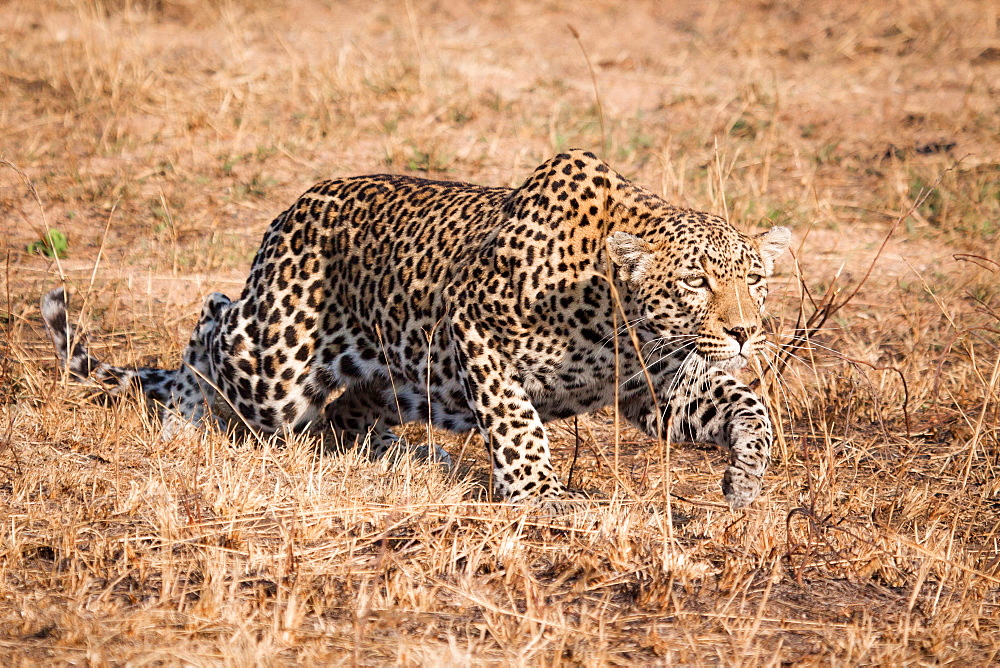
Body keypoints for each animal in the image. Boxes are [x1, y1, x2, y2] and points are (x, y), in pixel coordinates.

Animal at [41, 149, 788, 508]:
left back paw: (408, 457)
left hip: (406, 383)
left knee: (344, 415)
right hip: (277, 365)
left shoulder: (652, 388)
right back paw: (185, 415)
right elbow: (517, 420)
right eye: (697, 281)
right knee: (212, 319)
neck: (617, 313)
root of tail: (288, 214)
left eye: (754, 279)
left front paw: (746, 478)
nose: (747, 332)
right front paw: (539, 495)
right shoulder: (474, 323)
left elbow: (746, 406)